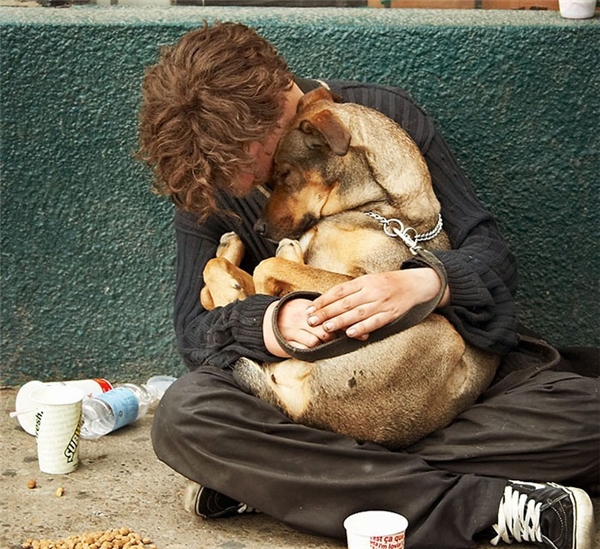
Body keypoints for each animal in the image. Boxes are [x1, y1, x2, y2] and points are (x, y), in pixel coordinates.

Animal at [199, 88, 500, 448]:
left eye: (285, 175)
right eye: (271, 179)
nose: (258, 229)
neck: (383, 210)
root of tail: (304, 410)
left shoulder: (360, 283)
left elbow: (266, 268)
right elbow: (216, 271)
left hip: (439, 332)